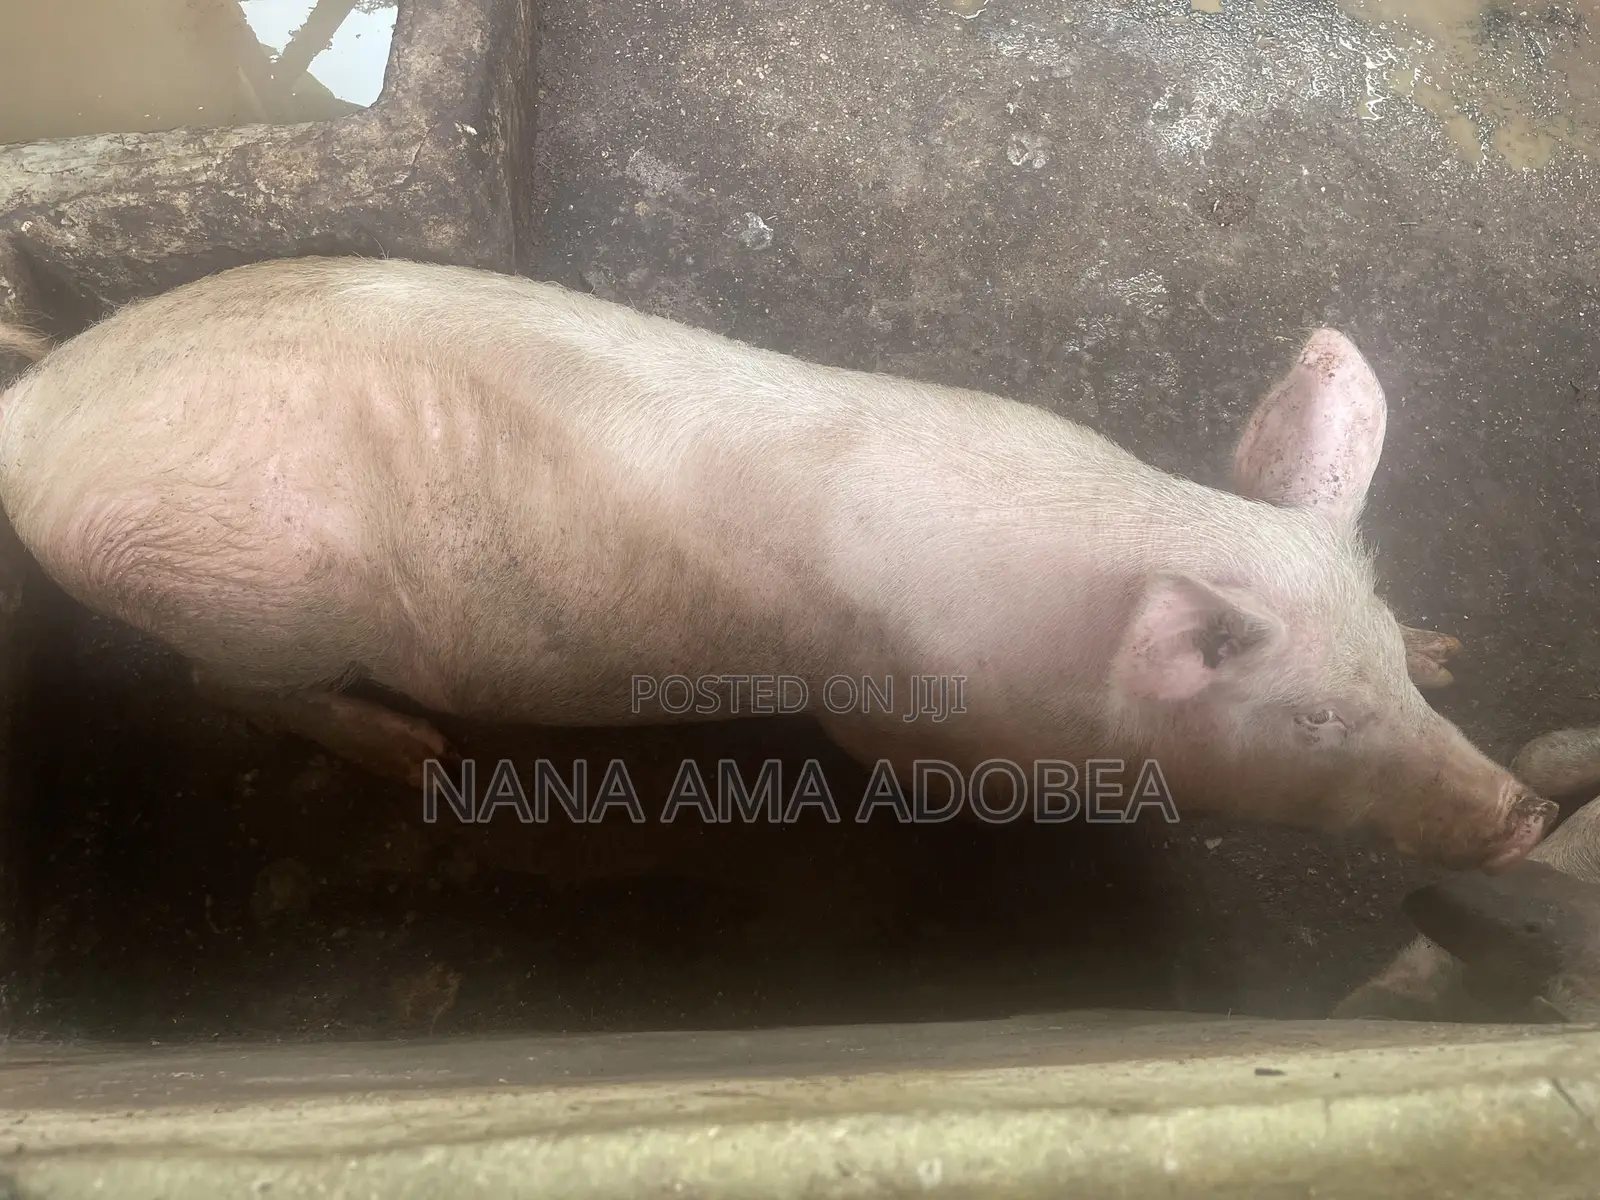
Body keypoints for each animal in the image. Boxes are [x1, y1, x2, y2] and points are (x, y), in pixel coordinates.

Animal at [0, 255, 1555, 869]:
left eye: (1382, 671)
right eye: (1317, 721)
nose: (1527, 812)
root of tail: (37, 415)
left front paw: (1455, 652)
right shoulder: (887, 716)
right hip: (235, 585)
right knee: (226, 691)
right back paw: (419, 755)